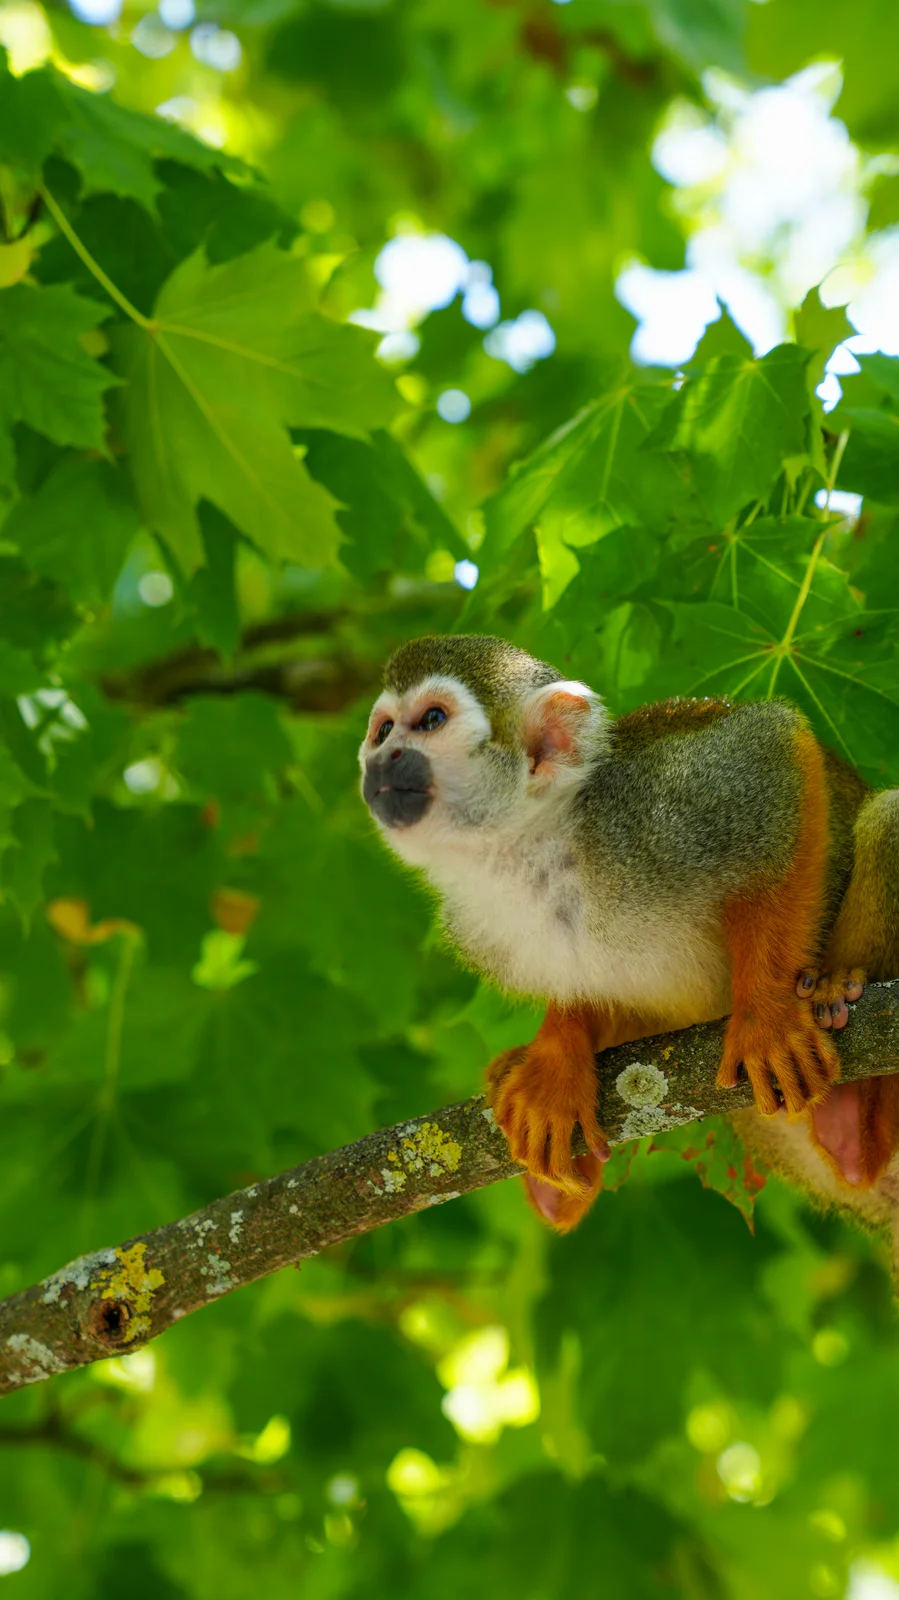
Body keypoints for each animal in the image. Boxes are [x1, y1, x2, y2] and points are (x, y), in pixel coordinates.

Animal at [359, 633, 899, 1252]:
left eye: (431, 720)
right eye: (383, 730)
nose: (383, 757)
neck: (532, 846)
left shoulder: (653, 809)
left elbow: (769, 746)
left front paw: (767, 1012)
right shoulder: (479, 920)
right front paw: (557, 1053)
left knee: (888, 817)